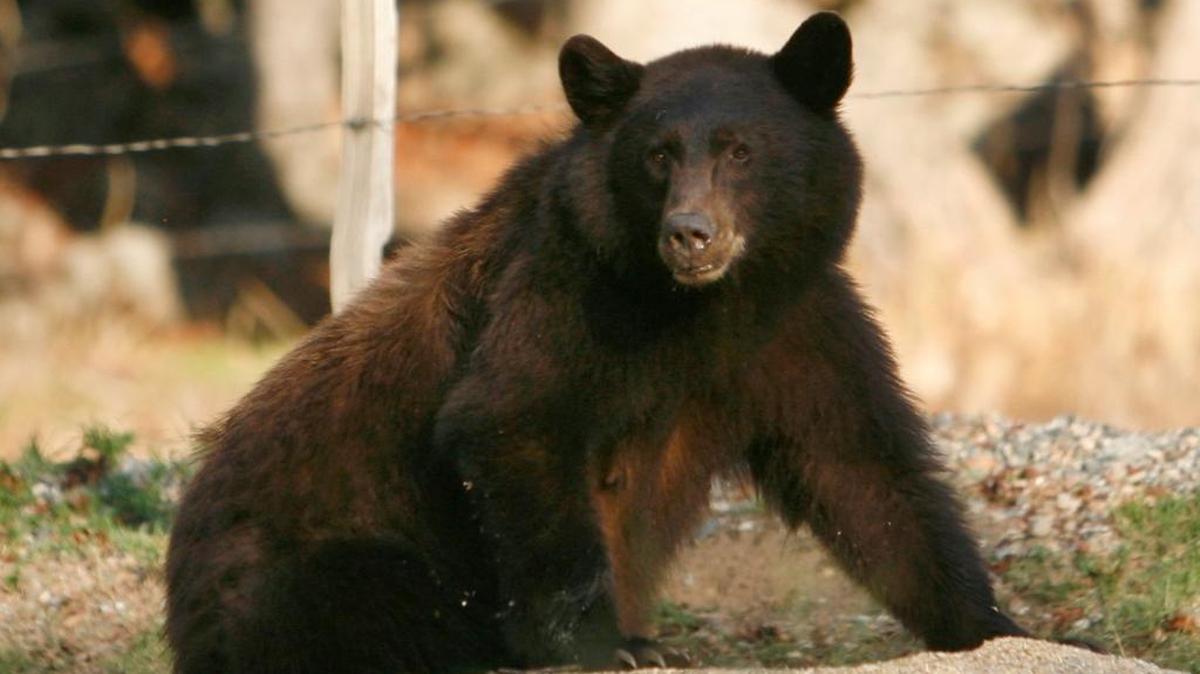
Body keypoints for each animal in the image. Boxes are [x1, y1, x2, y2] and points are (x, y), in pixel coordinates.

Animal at [165, 12, 1028, 674]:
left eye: (740, 149)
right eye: (658, 154)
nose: (690, 233)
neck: (701, 306)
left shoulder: (796, 322)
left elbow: (862, 470)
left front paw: (992, 625)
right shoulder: (567, 291)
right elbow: (517, 419)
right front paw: (610, 643)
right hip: (308, 563)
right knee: (374, 600)